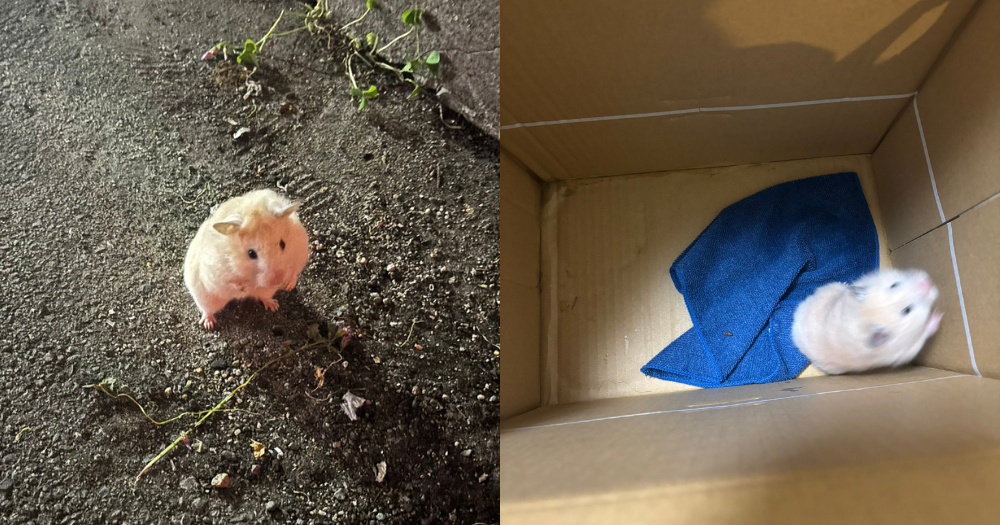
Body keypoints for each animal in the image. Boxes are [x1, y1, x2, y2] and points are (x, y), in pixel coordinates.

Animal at [183, 189, 310, 330]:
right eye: (251, 253)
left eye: (283, 244)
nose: (278, 281)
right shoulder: (218, 274)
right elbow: (233, 283)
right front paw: (244, 288)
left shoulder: (299, 255)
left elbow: (294, 272)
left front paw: (288, 285)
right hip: (205, 297)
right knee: (207, 310)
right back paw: (208, 325)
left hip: (267, 292)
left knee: (263, 297)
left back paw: (274, 306)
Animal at [791, 268, 943, 375]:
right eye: (907, 310)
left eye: (894, 285)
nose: (928, 281)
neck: (865, 316)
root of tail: (793, 326)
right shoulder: (908, 349)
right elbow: (926, 332)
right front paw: (938, 315)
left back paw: (845, 283)